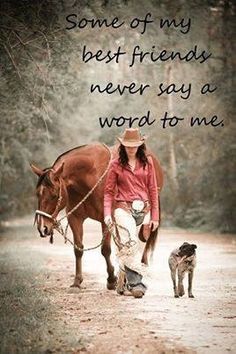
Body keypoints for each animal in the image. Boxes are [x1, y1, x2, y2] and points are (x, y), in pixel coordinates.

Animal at [30, 142, 163, 290]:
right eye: (38, 193)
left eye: (54, 195)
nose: (43, 228)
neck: (88, 177)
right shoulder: (75, 219)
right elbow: (78, 249)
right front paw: (77, 280)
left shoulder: (105, 220)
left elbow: (105, 250)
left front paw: (111, 279)